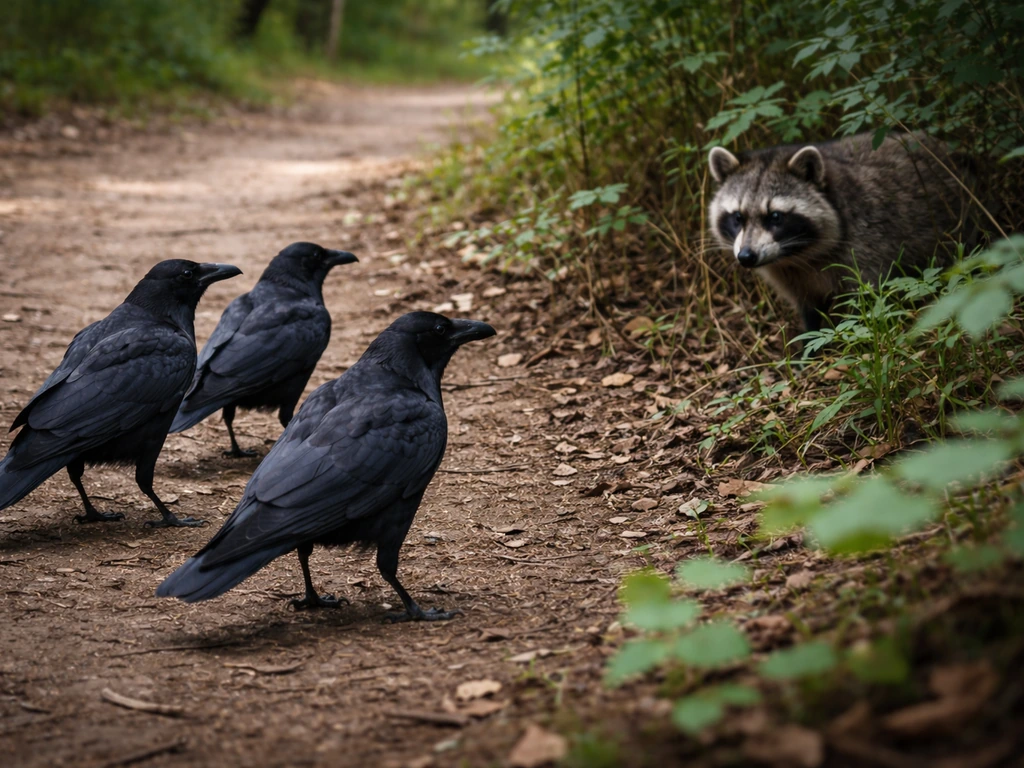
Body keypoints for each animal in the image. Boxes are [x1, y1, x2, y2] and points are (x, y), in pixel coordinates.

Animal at [707, 132, 973, 333]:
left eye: (775, 217)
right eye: (737, 217)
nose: (746, 257)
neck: (797, 256)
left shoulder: (869, 244)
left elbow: (866, 303)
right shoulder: (789, 277)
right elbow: (809, 310)